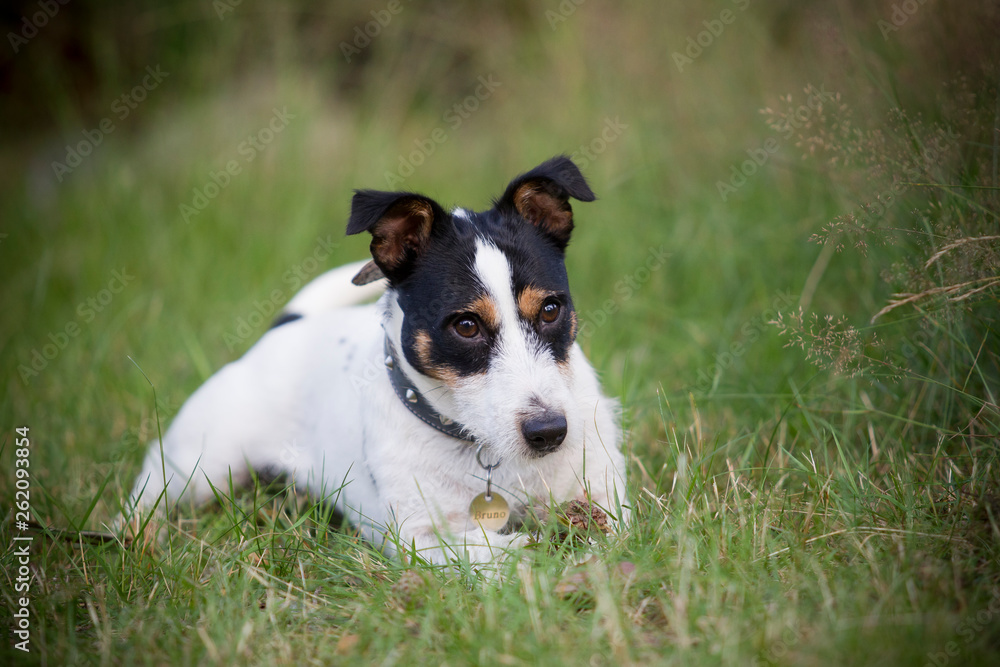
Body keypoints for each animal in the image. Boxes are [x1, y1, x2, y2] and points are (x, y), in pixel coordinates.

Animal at [123, 155, 624, 564]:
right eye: (466, 326)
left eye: (551, 310)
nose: (550, 432)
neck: (482, 448)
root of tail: (283, 329)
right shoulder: (418, 537)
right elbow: (491, 550)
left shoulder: (606, 495)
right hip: (198, 465)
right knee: (149, 494)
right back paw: (135, 539)